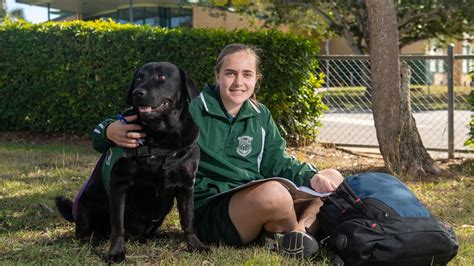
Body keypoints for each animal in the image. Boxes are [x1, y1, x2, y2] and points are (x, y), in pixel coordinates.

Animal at [55, 61, 207, 262]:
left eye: (161, 76)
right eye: (139, 77)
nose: (137, 93)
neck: (160, 139)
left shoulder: (186, 185)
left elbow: (188, 219)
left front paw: (195, 245)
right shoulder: (119, 184)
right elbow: (117, 225)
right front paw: (116, 253)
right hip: (85, 203)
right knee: (86, 231)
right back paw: (92, 240)